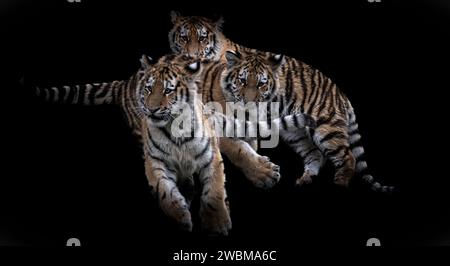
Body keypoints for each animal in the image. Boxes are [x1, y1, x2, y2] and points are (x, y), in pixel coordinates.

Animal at [167, 11, 392, 192]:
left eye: (203, 38)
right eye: (183, 37)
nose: (190, 56)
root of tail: (341, 93)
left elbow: (237, 145)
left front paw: (262, 172)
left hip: (326, 129)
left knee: (347, 157)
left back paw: (339, 185)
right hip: (295, 132)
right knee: (315, 154)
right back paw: (305, 180)